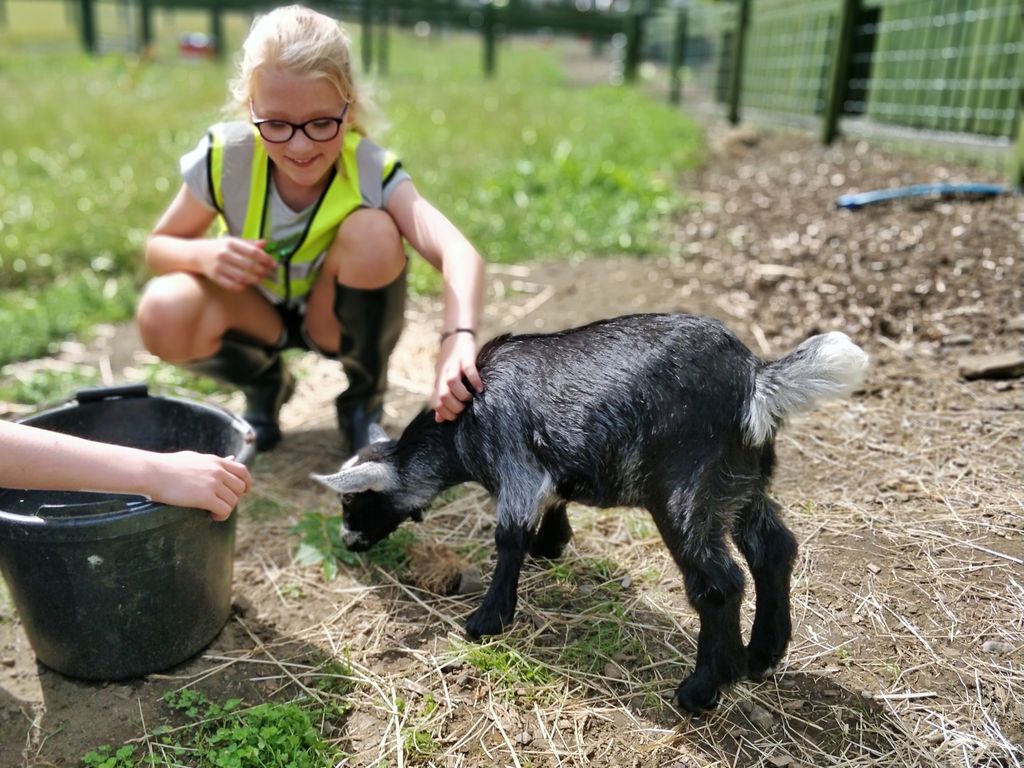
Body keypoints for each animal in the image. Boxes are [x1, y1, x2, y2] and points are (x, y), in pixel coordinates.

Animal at [312, 313, 868, 713]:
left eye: (351, 500)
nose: (348, 542)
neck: (463, 421)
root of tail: (753, 378)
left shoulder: (514, 463)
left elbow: (508, 538)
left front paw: (488, 619)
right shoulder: (548, 471)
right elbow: (551, 509)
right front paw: (551, 545)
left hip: (687, 491)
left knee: (719, 584)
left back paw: (702, 689)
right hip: (740, 483)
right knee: (774, 549)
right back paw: (762, 655)